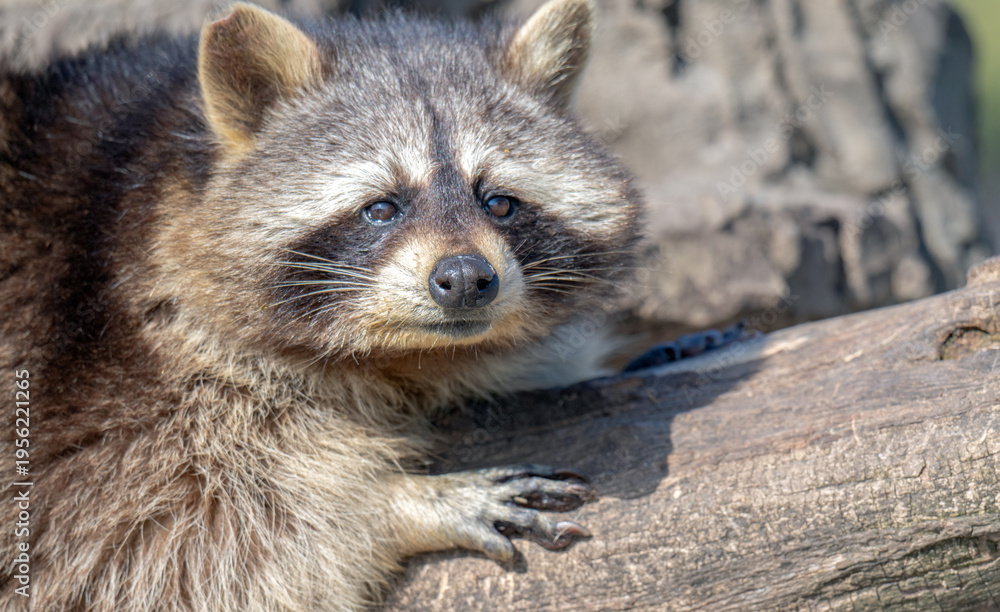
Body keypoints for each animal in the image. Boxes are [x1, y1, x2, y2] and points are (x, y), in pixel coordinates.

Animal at [0, 0, 641, 609]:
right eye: (382, 208)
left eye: (499, 202)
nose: (464, 278)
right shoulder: (104, 367)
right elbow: (167, 546)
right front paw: (398, 503)